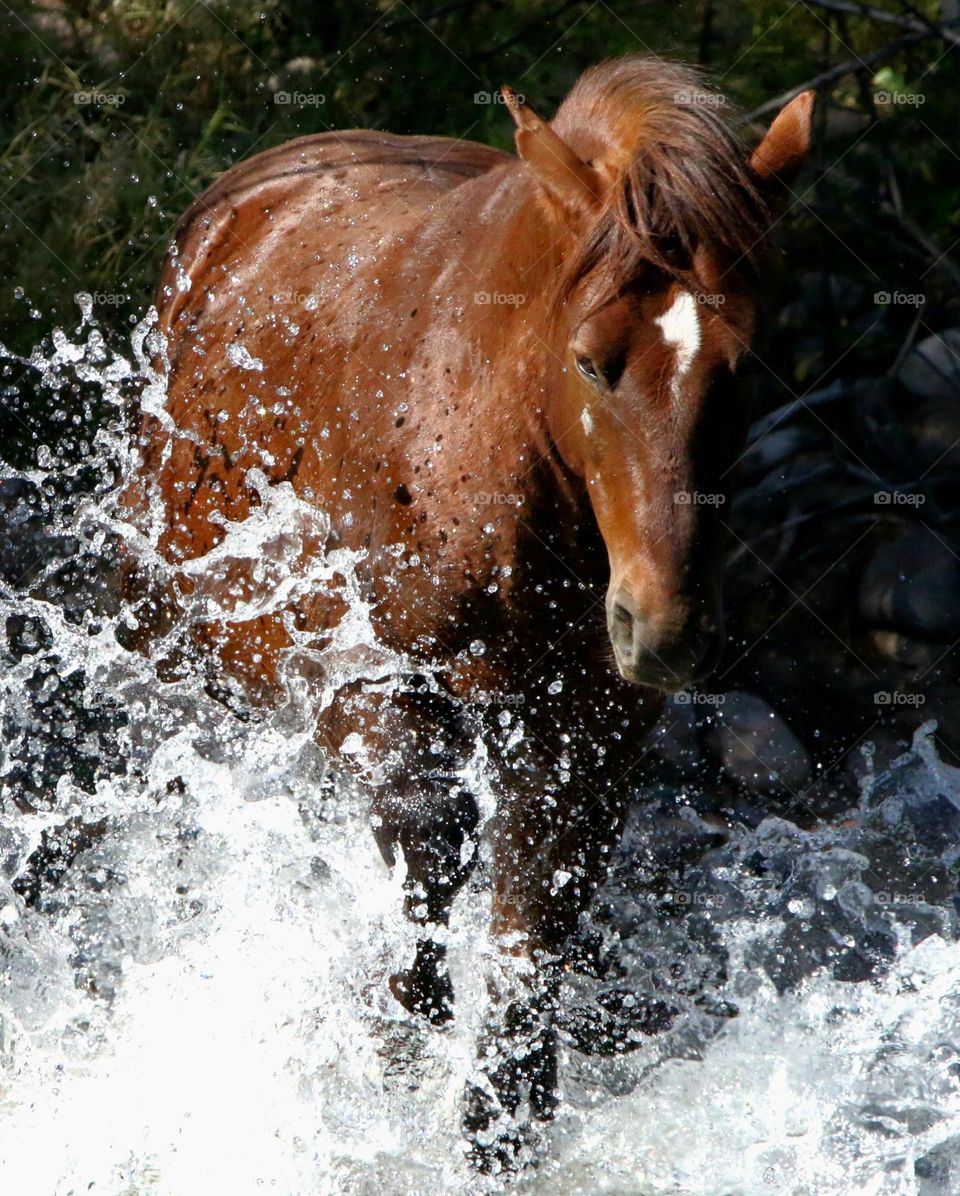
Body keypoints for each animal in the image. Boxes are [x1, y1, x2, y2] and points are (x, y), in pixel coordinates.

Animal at [121, 56, 812, 1167]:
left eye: (743, 367)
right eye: (592, 361)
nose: (664, 627)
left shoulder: (591, 722)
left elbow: (540, 906)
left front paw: (504, 1115)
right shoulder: (369, 687)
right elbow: (429, 860)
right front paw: (395, 1073)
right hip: (181, 654)